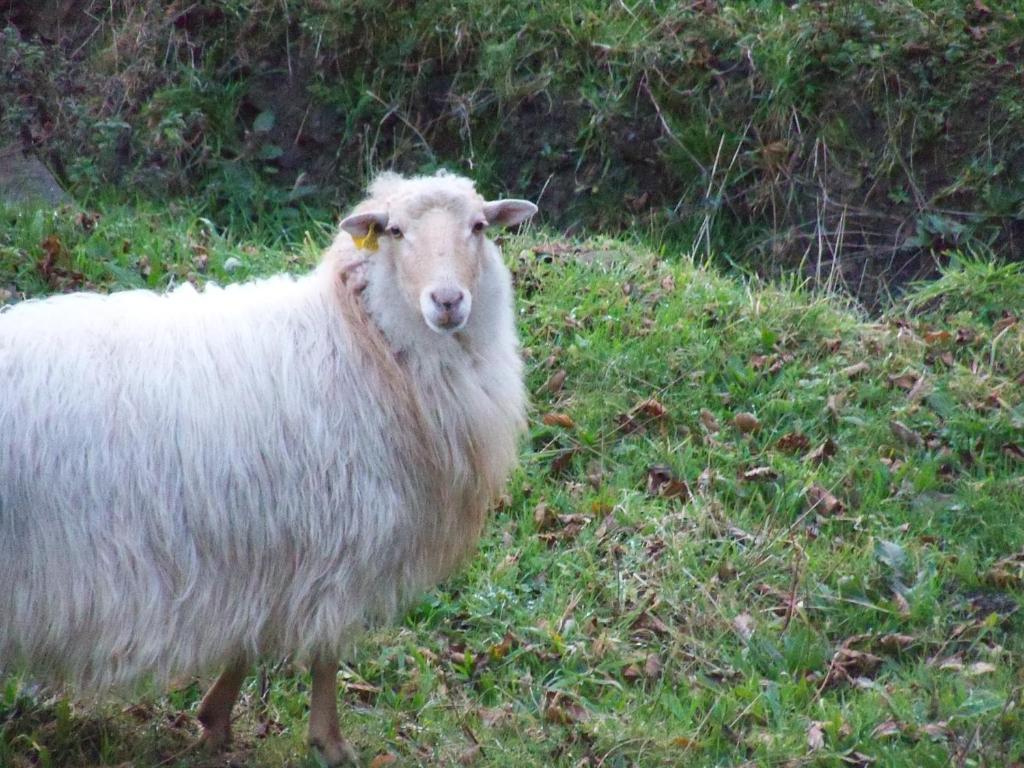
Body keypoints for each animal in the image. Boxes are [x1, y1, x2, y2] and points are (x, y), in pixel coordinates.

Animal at [0, 167, 540, 765]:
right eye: (395, 231)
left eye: (478, 227)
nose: (448, 301)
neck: (364, 345)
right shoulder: (340, 540)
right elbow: (325, 650)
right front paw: (329, 742)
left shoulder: (270, 546)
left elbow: (251, 636)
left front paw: (214, 720)